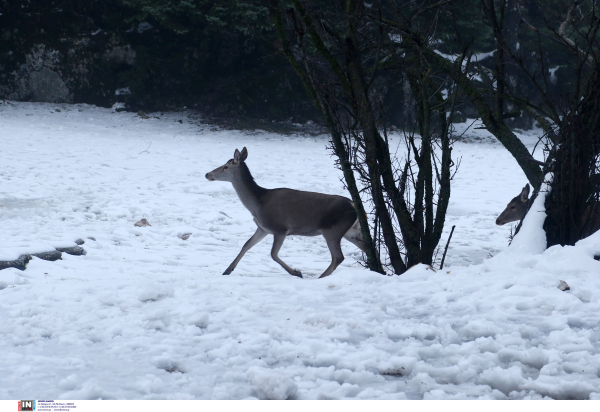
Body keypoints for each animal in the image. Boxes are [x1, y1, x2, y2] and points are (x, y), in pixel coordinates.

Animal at [205, 146, 366, 278]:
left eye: (225, 167)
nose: (207, 174)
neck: (257, 204)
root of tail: (353, 205)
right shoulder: (263, 228)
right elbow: (247, 245)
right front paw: (227, 270)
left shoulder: (280, 228)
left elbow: (273, 254)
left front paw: (296, 272)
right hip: (350, 231)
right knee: (365, 248)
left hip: (332, 230)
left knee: (338, 257)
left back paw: (321, 277)